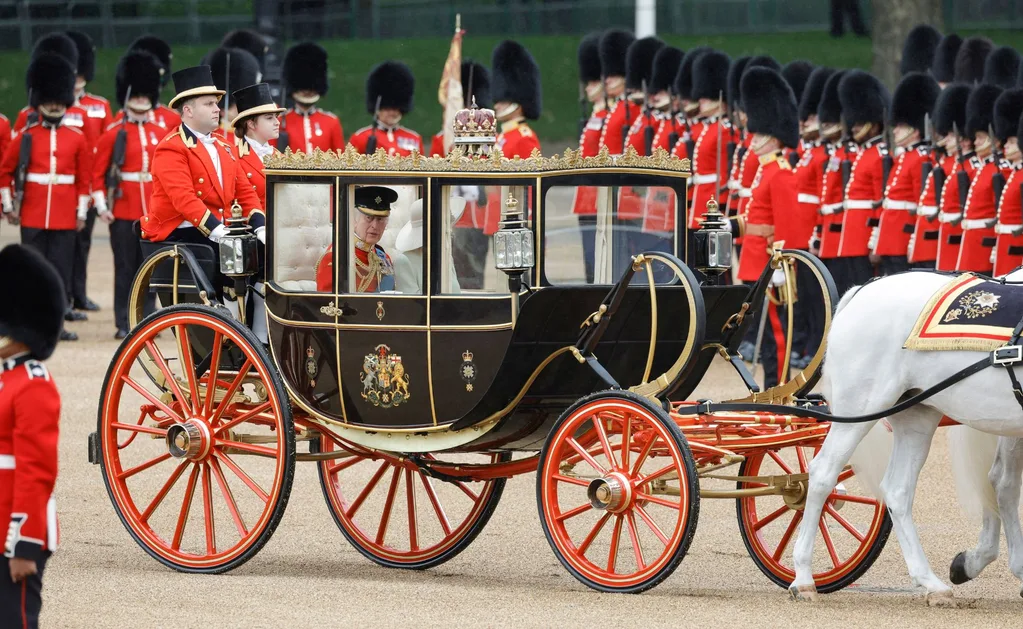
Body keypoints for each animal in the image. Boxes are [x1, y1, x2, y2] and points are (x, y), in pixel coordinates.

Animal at [793, 270, 1023, 605]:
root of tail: (863, 289)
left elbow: (1002, 484)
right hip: (861, 409)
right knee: (823, 474)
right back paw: (803, 578)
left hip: (917, 417)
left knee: (898, 490)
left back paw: (930, 582)